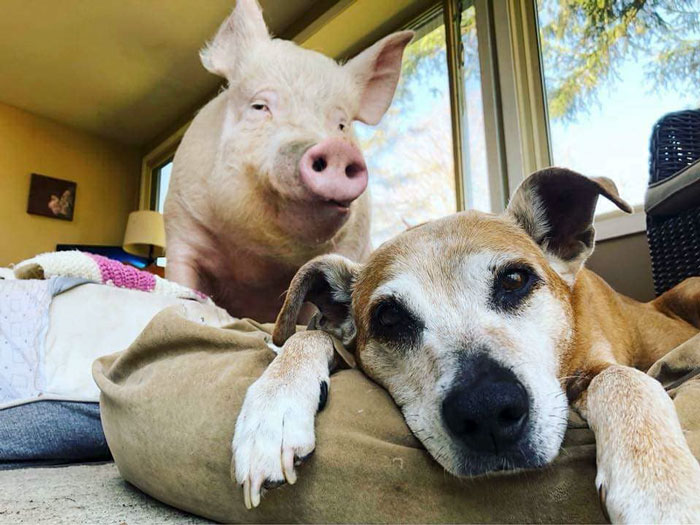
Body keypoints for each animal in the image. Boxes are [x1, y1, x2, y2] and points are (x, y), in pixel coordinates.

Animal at [164, 0, 413, 322]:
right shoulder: (181, 223)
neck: (258, 266)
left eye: (341, 125)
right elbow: (181, 279)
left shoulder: (350, 246)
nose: (336, 148)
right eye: (259, 106)